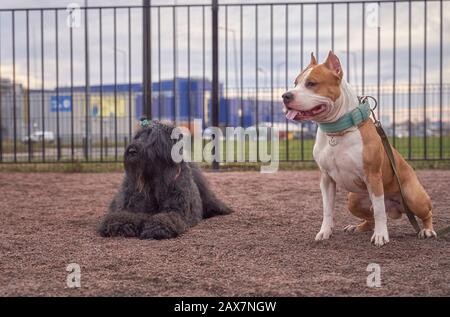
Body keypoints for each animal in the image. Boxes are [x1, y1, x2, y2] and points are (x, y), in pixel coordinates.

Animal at [98, 119, 232, 238]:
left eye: (152, 138)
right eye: (137, 137)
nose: (131, 150)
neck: (153, 181)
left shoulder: (175, 210)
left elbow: (165, 217)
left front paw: (156, 227)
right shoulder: (133, 208)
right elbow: (122, 215)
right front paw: (119, 225)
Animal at [284, 50, 434, 246]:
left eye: (311, 83)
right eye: (295, 83)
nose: (285, 96)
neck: (336, 130)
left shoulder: (373, 176)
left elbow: (379, 211)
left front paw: (381, 236)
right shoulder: (326, 179)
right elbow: (327, 209)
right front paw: (325, 232)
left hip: (412, 197)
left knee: (425, 213)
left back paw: (427, 230)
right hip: (353, 200)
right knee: (370, 218)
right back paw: (357, 227)